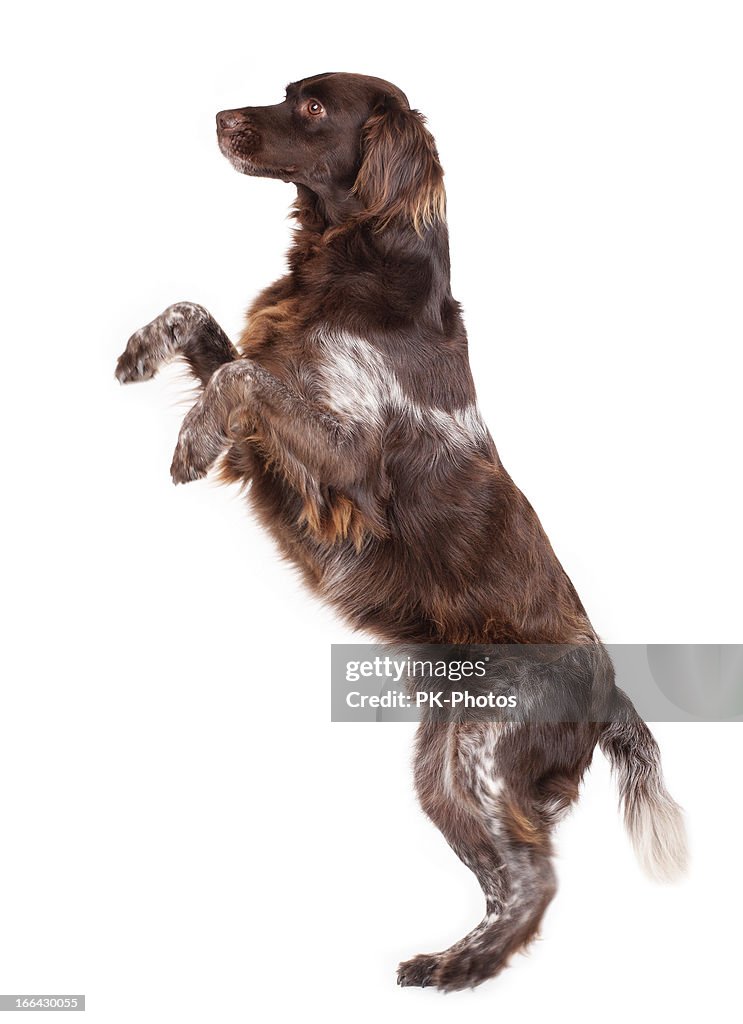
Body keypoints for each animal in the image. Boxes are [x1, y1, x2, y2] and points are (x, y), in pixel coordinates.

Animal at [113, 72, 687, 991]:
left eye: (312, 107)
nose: (220, 118)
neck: (351, 263)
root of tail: (611, 694)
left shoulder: (346, 459)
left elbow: (241, 377)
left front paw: (190, 443)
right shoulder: (271, 423)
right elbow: (204, 324)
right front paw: (139, 351)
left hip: (484, 755)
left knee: (535, 877)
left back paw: (462, 970)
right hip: (444, 769)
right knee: (510, 876)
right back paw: (457, 957)